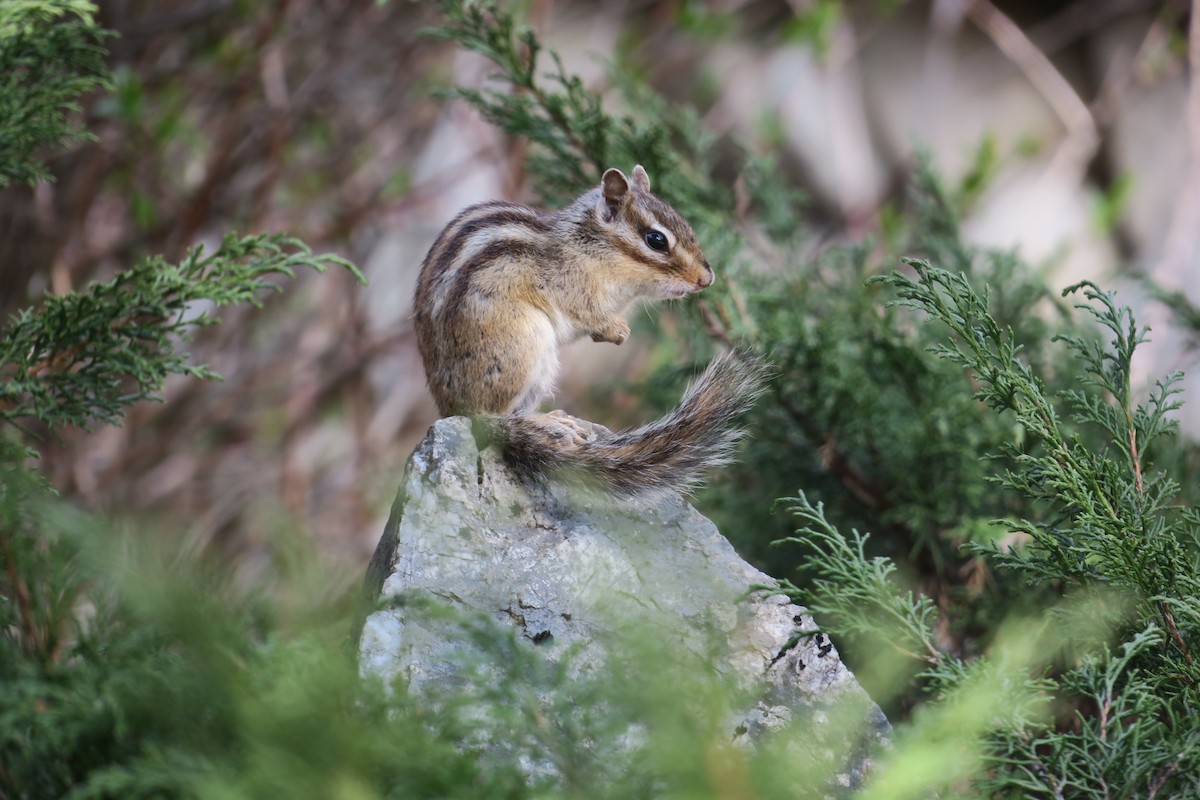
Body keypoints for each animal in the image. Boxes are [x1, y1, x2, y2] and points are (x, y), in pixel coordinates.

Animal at [412, 164, 766, 497]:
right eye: (656, 240)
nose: (707, 279)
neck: (593, 248)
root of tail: (452, 409)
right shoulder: (572, 288)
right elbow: (586, 313)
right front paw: (617, 330)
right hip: (523, 345)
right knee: (493, 418)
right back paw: (540, 422)